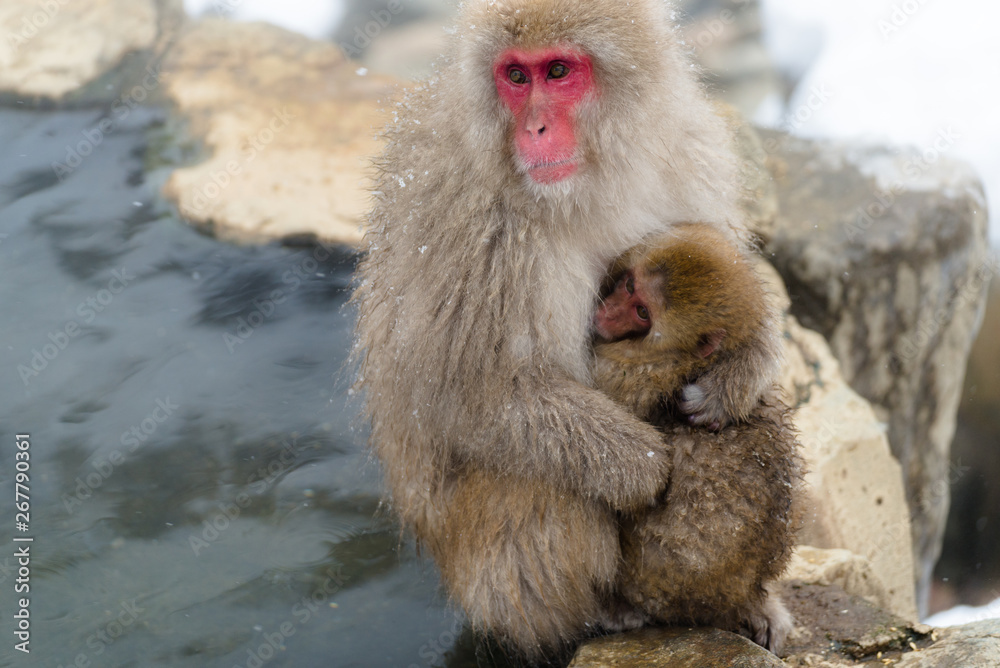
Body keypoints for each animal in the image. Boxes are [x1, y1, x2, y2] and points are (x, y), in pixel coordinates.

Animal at [590, 222, 801, 654]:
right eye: (628, 284)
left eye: (642, 312)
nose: (605, 313)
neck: (683, 359)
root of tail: (735, 597)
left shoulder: (627, 371)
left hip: (659, 590)